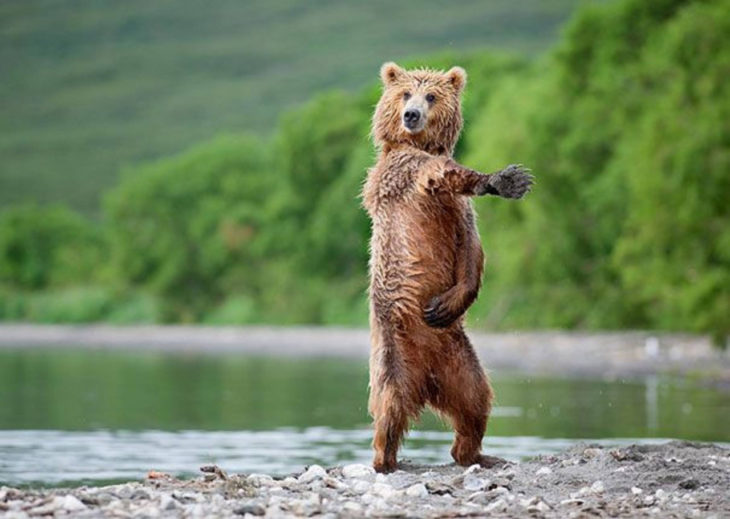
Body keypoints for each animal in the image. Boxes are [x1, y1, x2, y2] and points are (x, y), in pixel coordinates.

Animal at [362, 63, 532, 474]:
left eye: (431, 96)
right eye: (405, 94)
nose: (411, 116)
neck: (417, 144)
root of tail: (426, 381)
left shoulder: (459, 214)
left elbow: (472, 251)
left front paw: (445, 304)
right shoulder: (406, 174)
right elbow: (440, 173)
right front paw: (499, 179)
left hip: (459, 357)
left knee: (476, 399)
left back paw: (475, 453)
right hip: (393, 351)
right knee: (389, 404)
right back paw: (385, 459)